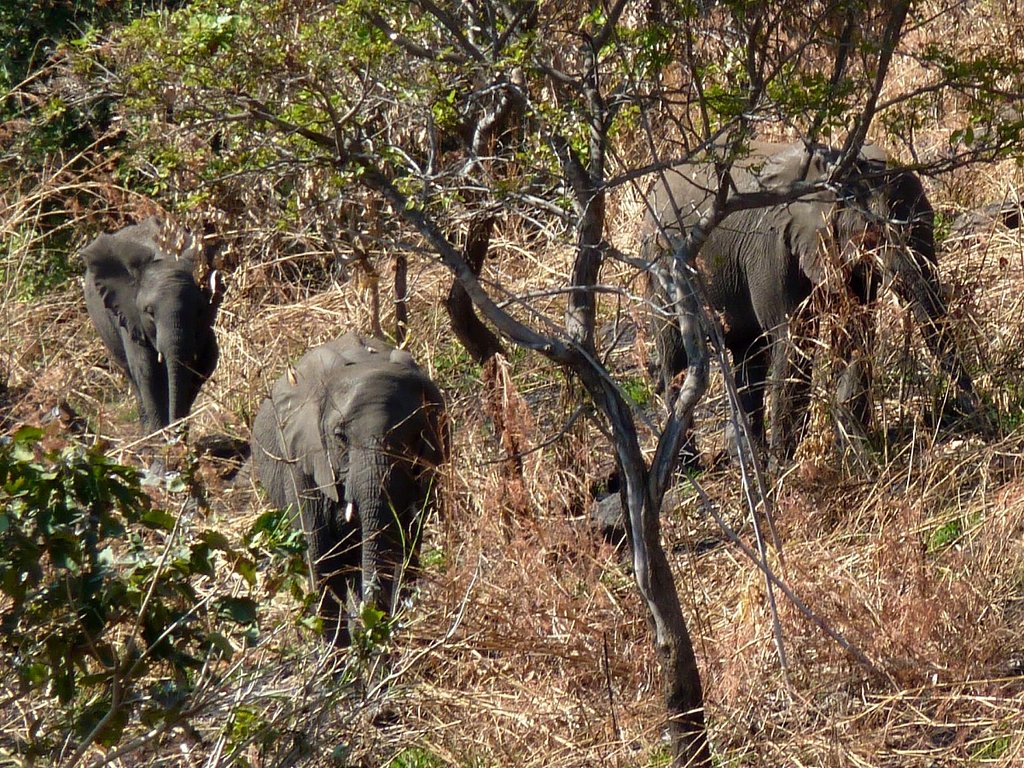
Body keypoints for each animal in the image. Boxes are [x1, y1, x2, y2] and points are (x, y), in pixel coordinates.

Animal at [82, 217, 223, 435]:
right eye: (149, 312)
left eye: (200, 310)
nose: (175, 434)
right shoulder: (130, 315)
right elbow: (147, 371)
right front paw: (160, 439)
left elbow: (202, 366)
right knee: (131, 374)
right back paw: (146, 431)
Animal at [250, 332, 449, 648]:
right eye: (340, 437)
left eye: (412, 436)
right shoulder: (301, 461)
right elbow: (321, 559)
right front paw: (337, 660)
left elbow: (402, 547)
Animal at [643, 141, 976, 463]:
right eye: (874, 236)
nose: (971, 409)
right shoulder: (773, 249)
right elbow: (794, 343)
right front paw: (786, 467)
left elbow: (856, 333)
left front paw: (853, 452)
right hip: (662, 263)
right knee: (678, 355)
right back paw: (690, 468)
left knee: (750, 355)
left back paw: (748, 460)